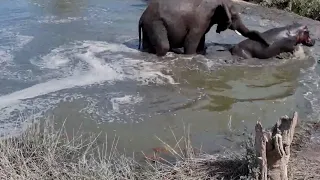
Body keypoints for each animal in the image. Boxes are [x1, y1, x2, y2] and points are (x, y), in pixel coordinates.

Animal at [138, 0, 270, 56]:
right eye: (234, 16)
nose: (268, 44)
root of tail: (142, 17)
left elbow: (201, 38)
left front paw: (201, 53)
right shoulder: (200, 20)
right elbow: (192, 40)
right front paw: (191, 56)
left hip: (149, 25)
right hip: (155, 23)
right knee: (164, 46)